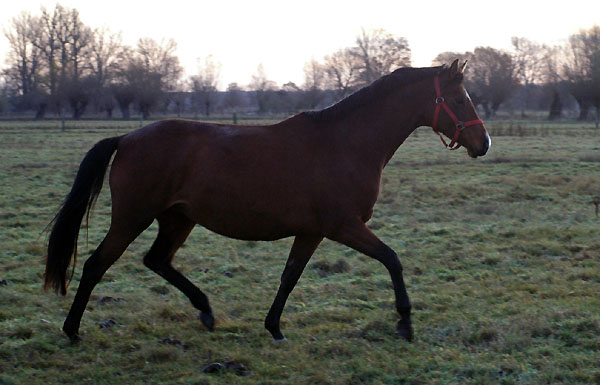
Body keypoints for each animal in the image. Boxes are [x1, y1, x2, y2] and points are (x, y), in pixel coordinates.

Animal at [45, 60, 488, 342]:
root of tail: (126, 139)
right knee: (96, 264)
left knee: (157, 260)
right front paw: (405, 323)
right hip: (132, 217)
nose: (483, 143)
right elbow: (392, 259)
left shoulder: (312, 232)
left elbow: (289, 276)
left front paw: (274, 327)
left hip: (177, 219)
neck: (346, 143)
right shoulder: (343, 226)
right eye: (460, 99)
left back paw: (205, 310)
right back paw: (72, 330)